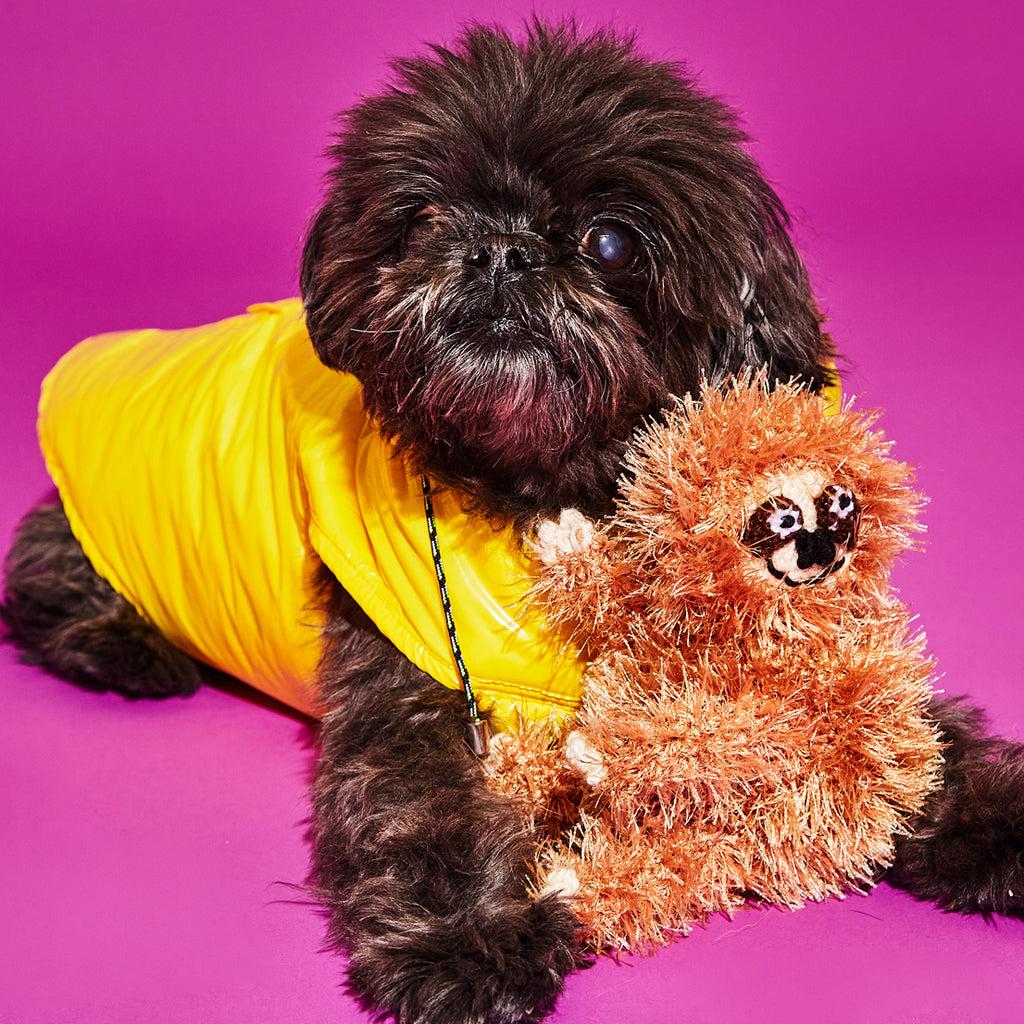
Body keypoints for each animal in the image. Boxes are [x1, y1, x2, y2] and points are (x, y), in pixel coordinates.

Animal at [2, 22, 1024, 1024]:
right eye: (420, 218)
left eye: (610, 241)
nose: (498, 250)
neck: (544, 496)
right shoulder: (403, 692)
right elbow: (420, 813)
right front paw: (469, 941)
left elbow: (911, 731)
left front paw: (994, 811)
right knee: (37, 582)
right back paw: (126, 647)